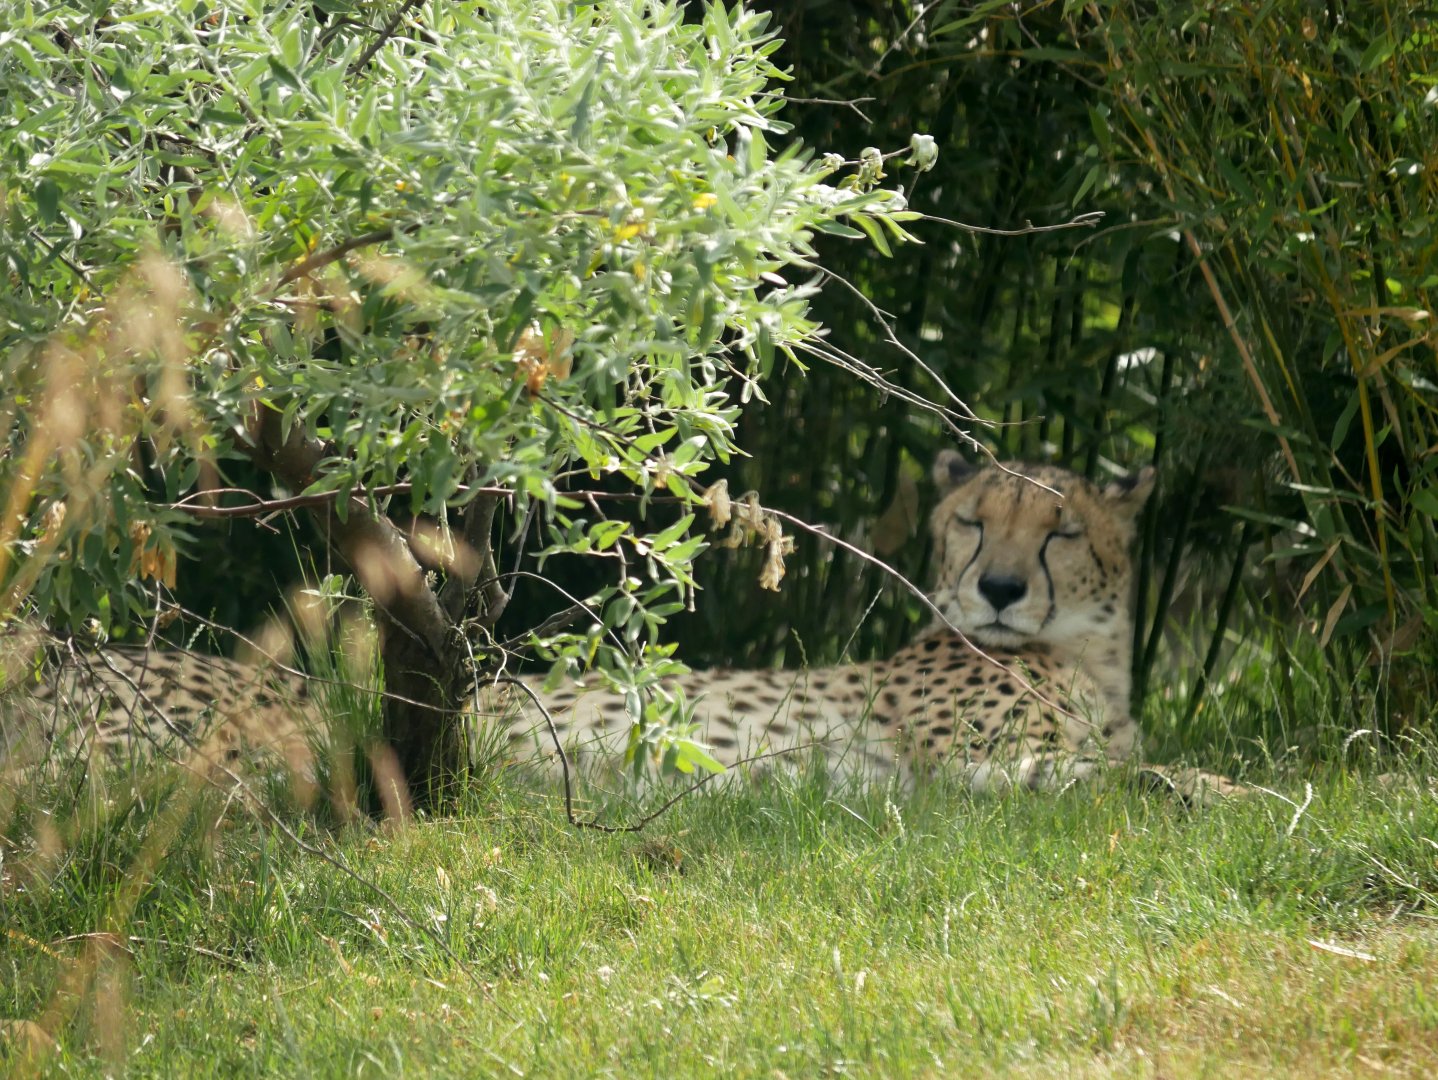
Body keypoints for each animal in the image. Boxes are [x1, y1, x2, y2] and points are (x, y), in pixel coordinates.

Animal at [0, 455, 1241, 803]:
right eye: (975, 518)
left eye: (1059, 528)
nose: (996, 589)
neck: (1087, 657)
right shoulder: (972, 763)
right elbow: (1150, 775)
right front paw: (1239, 795)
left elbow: (1141, 765)